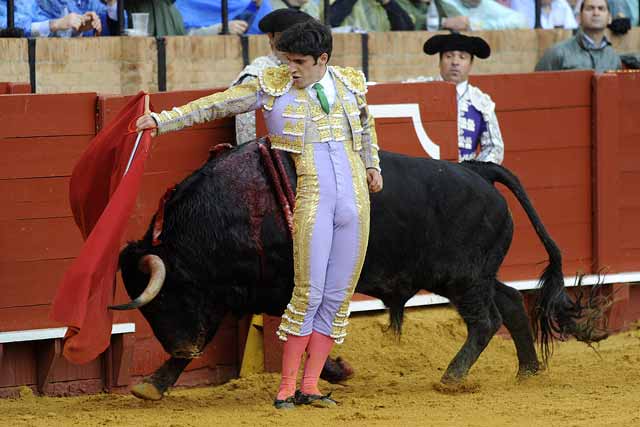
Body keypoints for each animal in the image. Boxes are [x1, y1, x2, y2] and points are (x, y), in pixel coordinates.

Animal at [114, 141, 604, 402]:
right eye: (148, 310)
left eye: (166, 298)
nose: (181, 344)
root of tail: (477, 170)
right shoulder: (229, 293)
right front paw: (153, 385)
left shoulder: (265, 289)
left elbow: (292, 332)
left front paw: (335, 370)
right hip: (474, 275)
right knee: (512, 303)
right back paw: (529, 372)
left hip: (463, 279)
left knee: (486, 321)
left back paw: (452, 377)